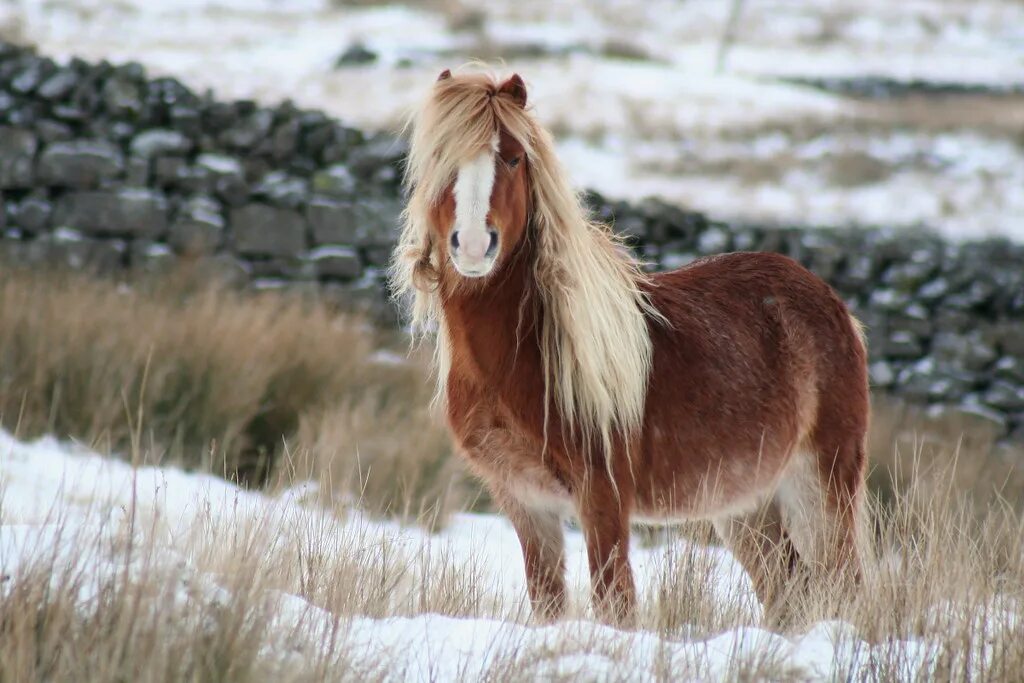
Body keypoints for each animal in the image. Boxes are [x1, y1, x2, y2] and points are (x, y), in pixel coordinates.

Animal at [387, 69, 868, 626]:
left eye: (512, 157)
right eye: (440, 158)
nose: (470, 245)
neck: (523, 357)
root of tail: (831, 302)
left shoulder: (603, 496)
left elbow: (614, 601)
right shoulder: (524, 502)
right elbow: (547, 600)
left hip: (820, 483)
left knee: (844, 584)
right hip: (746, 505)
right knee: (787, 591)